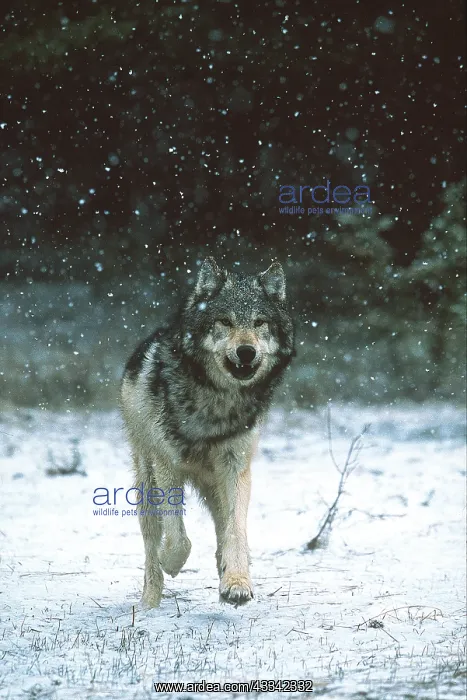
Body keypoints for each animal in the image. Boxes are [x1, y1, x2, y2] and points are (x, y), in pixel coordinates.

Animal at [120, 258, 295, 607]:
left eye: (259, 322)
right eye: (225, 322)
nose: (246, 351)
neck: (216, 401)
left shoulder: (236, 466)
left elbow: (235, 532)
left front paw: (237, 582)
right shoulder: (167, 467)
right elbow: (177, 539)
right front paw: (172, 562)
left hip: (214, 485)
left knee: (222, 530)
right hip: (146, 484)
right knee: (151, 548)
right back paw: (149, 603)